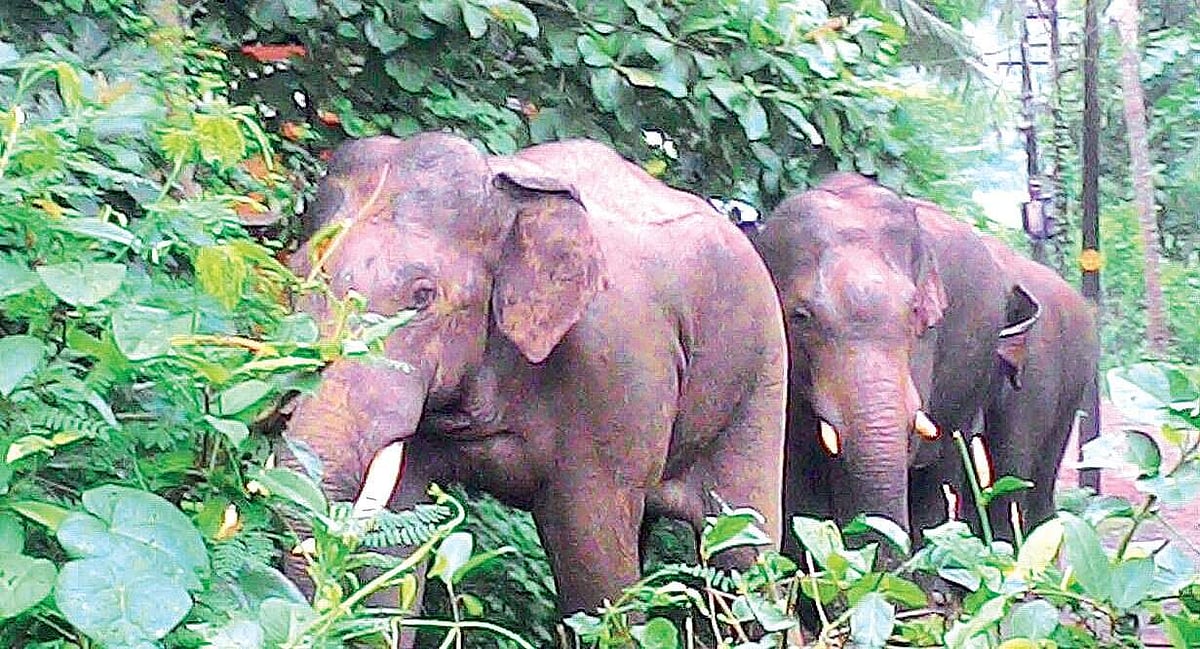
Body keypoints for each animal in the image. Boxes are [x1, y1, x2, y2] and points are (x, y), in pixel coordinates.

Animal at [280, 132, 788, 621]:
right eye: (298, 276)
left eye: (423, 296)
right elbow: (394, 548)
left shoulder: (612, 371)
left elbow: (596, 570)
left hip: (760, 380)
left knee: (747, 556)